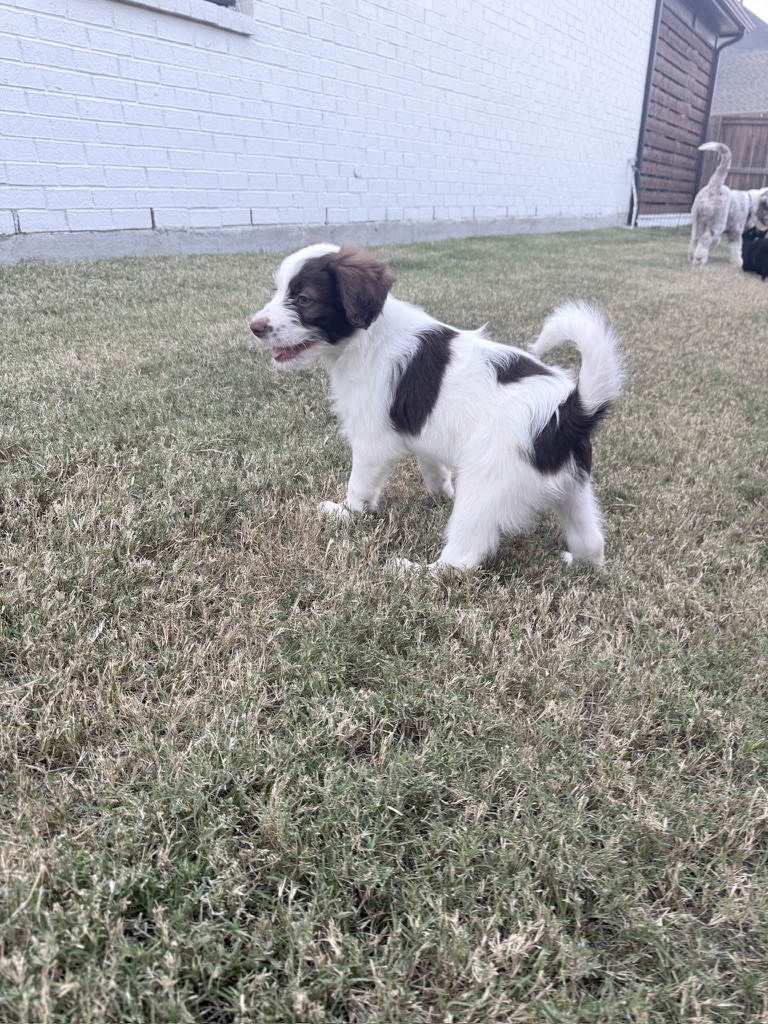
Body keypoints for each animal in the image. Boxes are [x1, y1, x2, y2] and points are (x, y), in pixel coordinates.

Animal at [249, 244, 623, 572]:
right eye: (278, 291)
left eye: (304, 300)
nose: (255, 327)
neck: (367, 336)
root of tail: (571, 410)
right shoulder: (422, 430)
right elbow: (431, 464)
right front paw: (439, 493)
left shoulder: (372, 440)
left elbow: (360, 485)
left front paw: (346, 513)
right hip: (574, 488)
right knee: (592, 541)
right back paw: (580, 562)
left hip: (485, 487)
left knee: (463, 563)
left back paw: (413, 571)